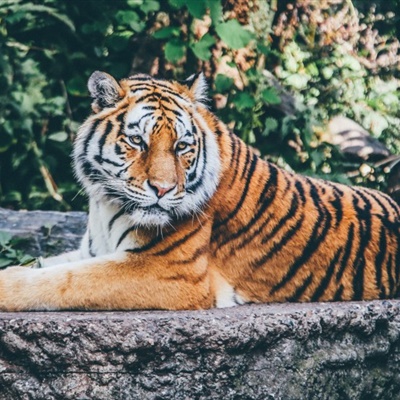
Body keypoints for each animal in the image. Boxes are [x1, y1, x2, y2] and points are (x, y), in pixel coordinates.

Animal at [0, 70, 398, 310]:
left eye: (181, 146)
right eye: (137, 141)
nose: (162, 189)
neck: (107, 204)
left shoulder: (167, 271)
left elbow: (64, 281)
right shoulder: (92, 250)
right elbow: (48, 266)